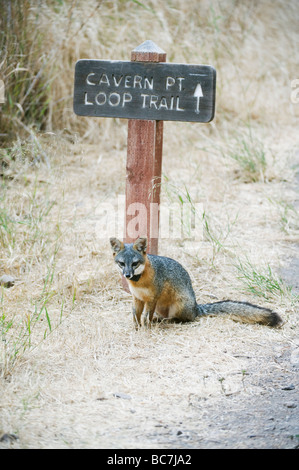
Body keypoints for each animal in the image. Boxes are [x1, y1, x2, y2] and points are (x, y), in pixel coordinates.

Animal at [110, 237, 284, 328]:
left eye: (134, 264)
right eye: (121, 263)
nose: (127, 275)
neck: (139, 283)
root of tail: (196, 307)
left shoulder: (152, 299)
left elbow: (146, 315)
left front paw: (146, 327)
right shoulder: (138, 298)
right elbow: (136, 315)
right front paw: (136, 328)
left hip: (178, 306)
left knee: (184, 319)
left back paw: (166, 321)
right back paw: (159, 320)